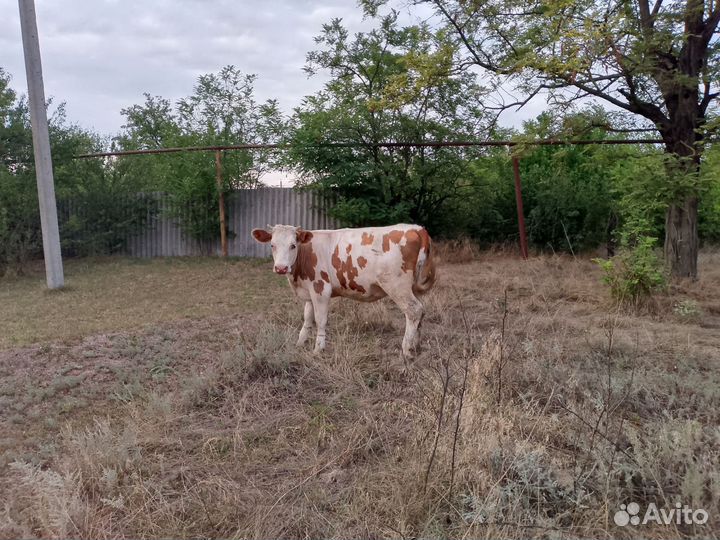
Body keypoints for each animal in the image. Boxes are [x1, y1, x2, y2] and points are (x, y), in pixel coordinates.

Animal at [251, 224, 436, 357]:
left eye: (293, 245)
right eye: (272, 245)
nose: (281, 268)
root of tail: (417, 229)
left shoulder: (321, 289)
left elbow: (320, 320)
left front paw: (318, 349)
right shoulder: (310, 291)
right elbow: (307, 319)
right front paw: (300, 343)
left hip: (397, 286)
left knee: (413, 310)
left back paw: (406, 350)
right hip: (413, 288)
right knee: (421, 311)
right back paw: (416, 346)